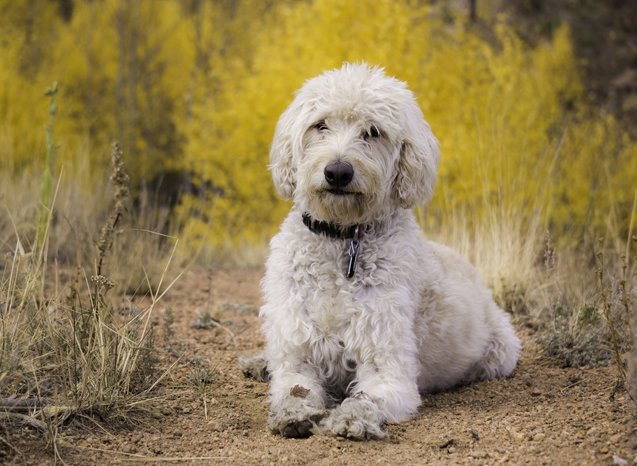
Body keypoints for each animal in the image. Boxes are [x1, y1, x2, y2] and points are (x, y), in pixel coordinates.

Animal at [241, 62, 520, 440]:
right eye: (320, 125)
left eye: (373, 132)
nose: (338, 171)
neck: (344, 238)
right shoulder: (297, 352)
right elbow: (293, 388)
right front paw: (292, 413)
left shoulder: (388, 366)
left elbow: (367, 397)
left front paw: (351, 418)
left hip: (501, 349)